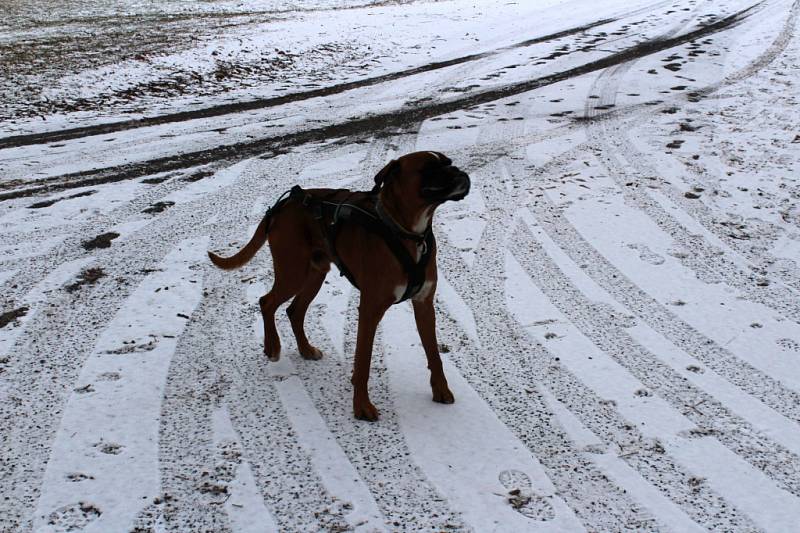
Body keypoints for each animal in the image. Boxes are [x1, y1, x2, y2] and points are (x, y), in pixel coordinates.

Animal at [208, 150, 468, 420]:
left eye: (449, 163)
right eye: (430, 169)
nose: (459, 171)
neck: (405, 231)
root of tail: (282, 205)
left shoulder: (424, 304)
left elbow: (433, 353)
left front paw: (440, 389)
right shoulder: (370, 310)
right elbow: (363, 361)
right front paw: (362, 406)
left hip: (315, 274)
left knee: (294, 310)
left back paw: (306, 349)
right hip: (293, 273)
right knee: (266, 301)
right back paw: (273, 346)